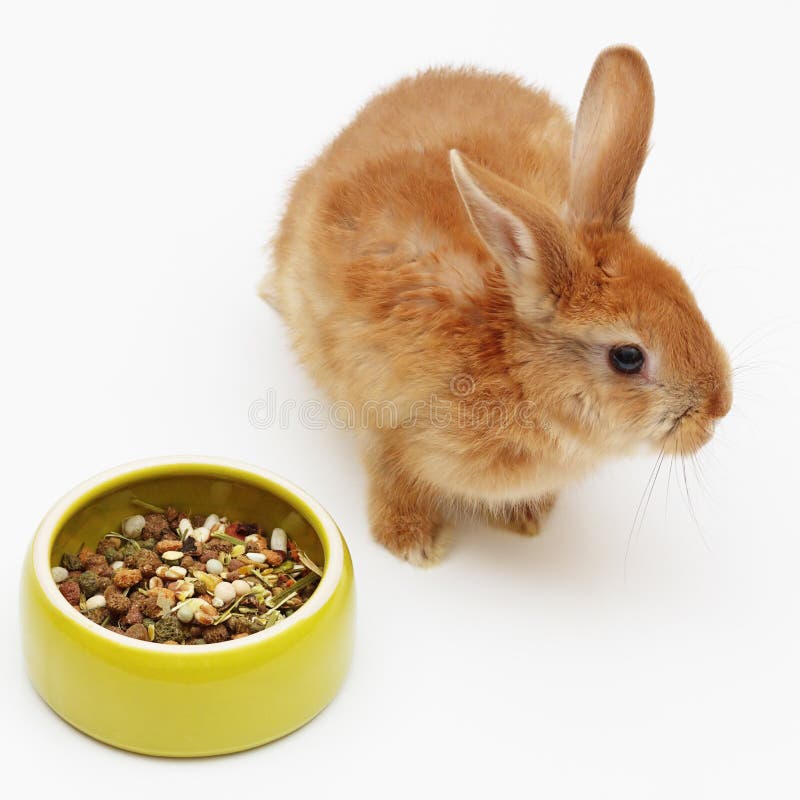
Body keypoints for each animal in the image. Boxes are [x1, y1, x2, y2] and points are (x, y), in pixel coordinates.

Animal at [262, 46, 732, 566]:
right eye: (628, 357)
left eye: (685, 293)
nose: (718, 409)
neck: (513, 365)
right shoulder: (385, 422)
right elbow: (394, 478)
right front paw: (412, 543)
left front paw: (527, 519)